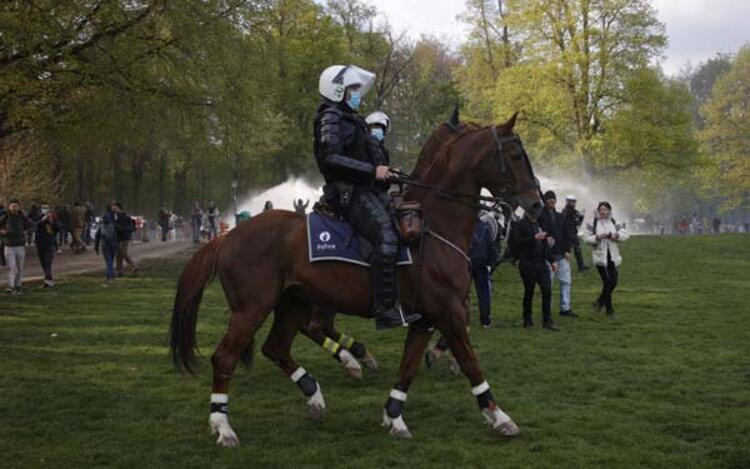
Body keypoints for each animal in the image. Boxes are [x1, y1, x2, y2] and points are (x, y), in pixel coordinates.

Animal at [171, 111, 548, 444]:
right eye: (516, 154)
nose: (537, 205)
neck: (435, 225)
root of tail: (227, 236)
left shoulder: (426, 318)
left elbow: (408, 367)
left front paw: (394, 416)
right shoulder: (449, 311)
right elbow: (472, 363)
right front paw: (499, 416)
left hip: (293, 303)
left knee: (276, 347)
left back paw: (318, 394)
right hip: (252, 309)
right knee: (226, 357)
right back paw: (223, 426)